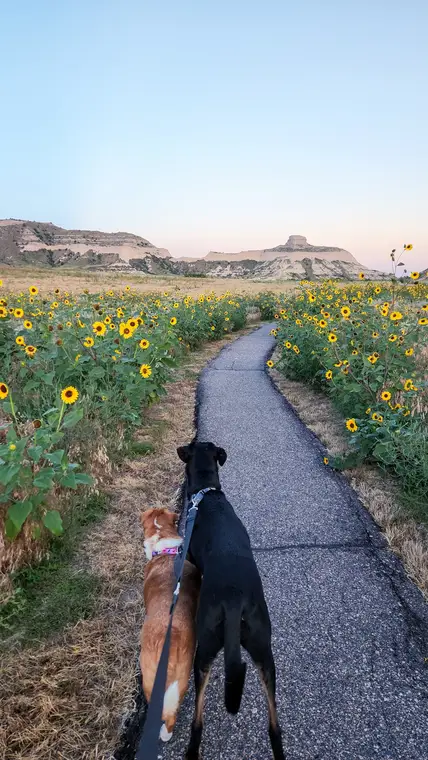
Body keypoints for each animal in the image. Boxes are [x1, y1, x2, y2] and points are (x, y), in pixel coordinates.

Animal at [177, 442, 284, 756]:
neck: (207, 494)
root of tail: (235, 603)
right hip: (264, 650)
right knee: (274, 724)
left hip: (204, 649)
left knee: (198, 719)